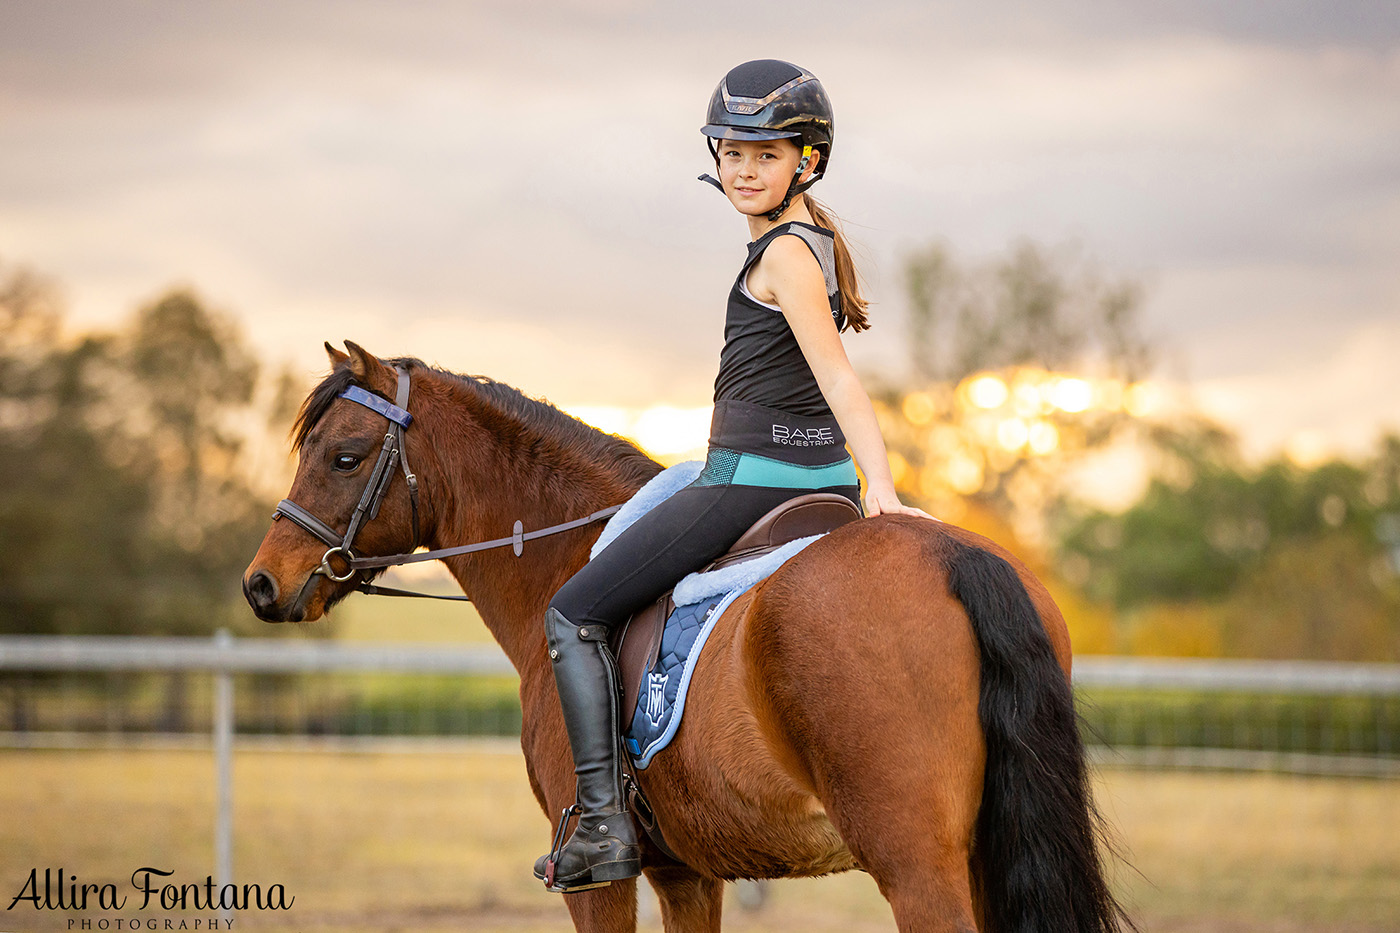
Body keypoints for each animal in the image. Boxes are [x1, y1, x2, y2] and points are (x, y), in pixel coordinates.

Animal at [243, 341, 1136, 930]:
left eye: (344, 456)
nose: (262, 583)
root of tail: (954, 554)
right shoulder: (686, 874)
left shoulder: (598, 879)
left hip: (919, 867)